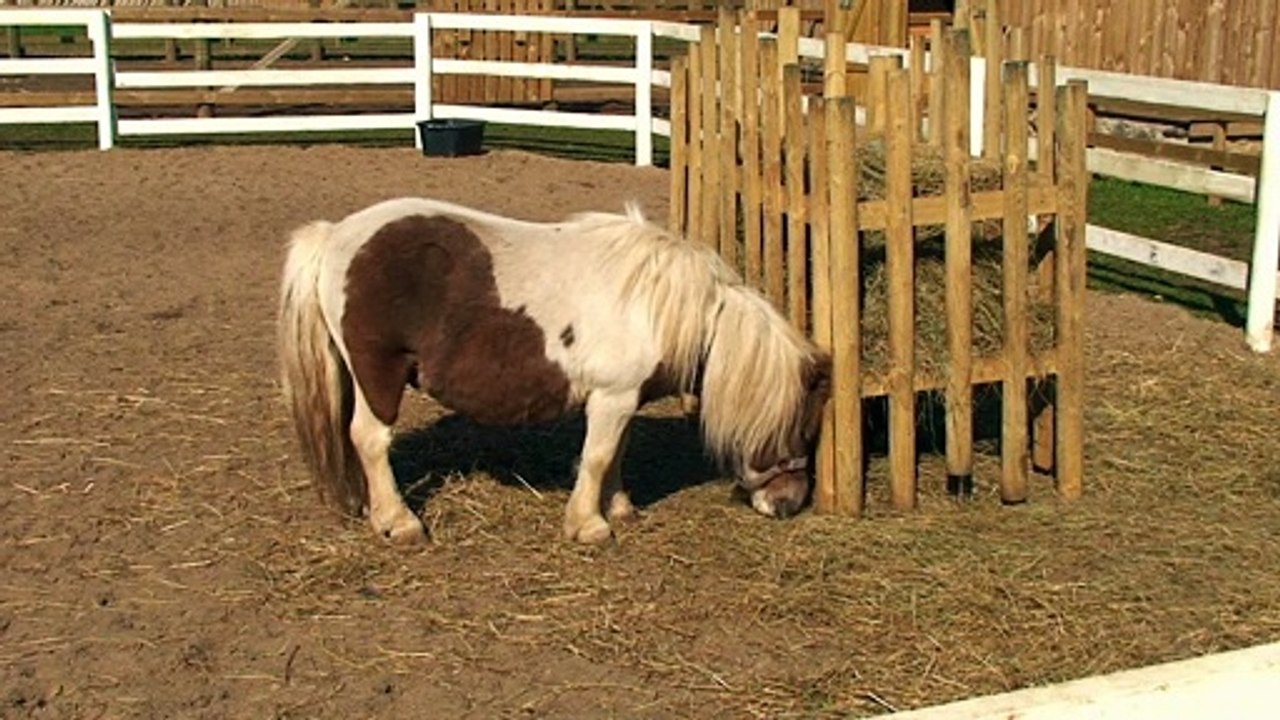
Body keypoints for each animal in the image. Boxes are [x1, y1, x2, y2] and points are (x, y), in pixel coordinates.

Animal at [277, 196, 831, 545]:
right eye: (803, 430)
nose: (788, 504)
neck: (668, 309)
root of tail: (335, 236)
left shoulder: (623, 400)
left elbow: (616, 453)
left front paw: (619, 508)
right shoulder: (612, 397)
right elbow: (598, 456)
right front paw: (589, 526)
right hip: (378, 377)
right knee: (370, 440)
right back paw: (399, 522)